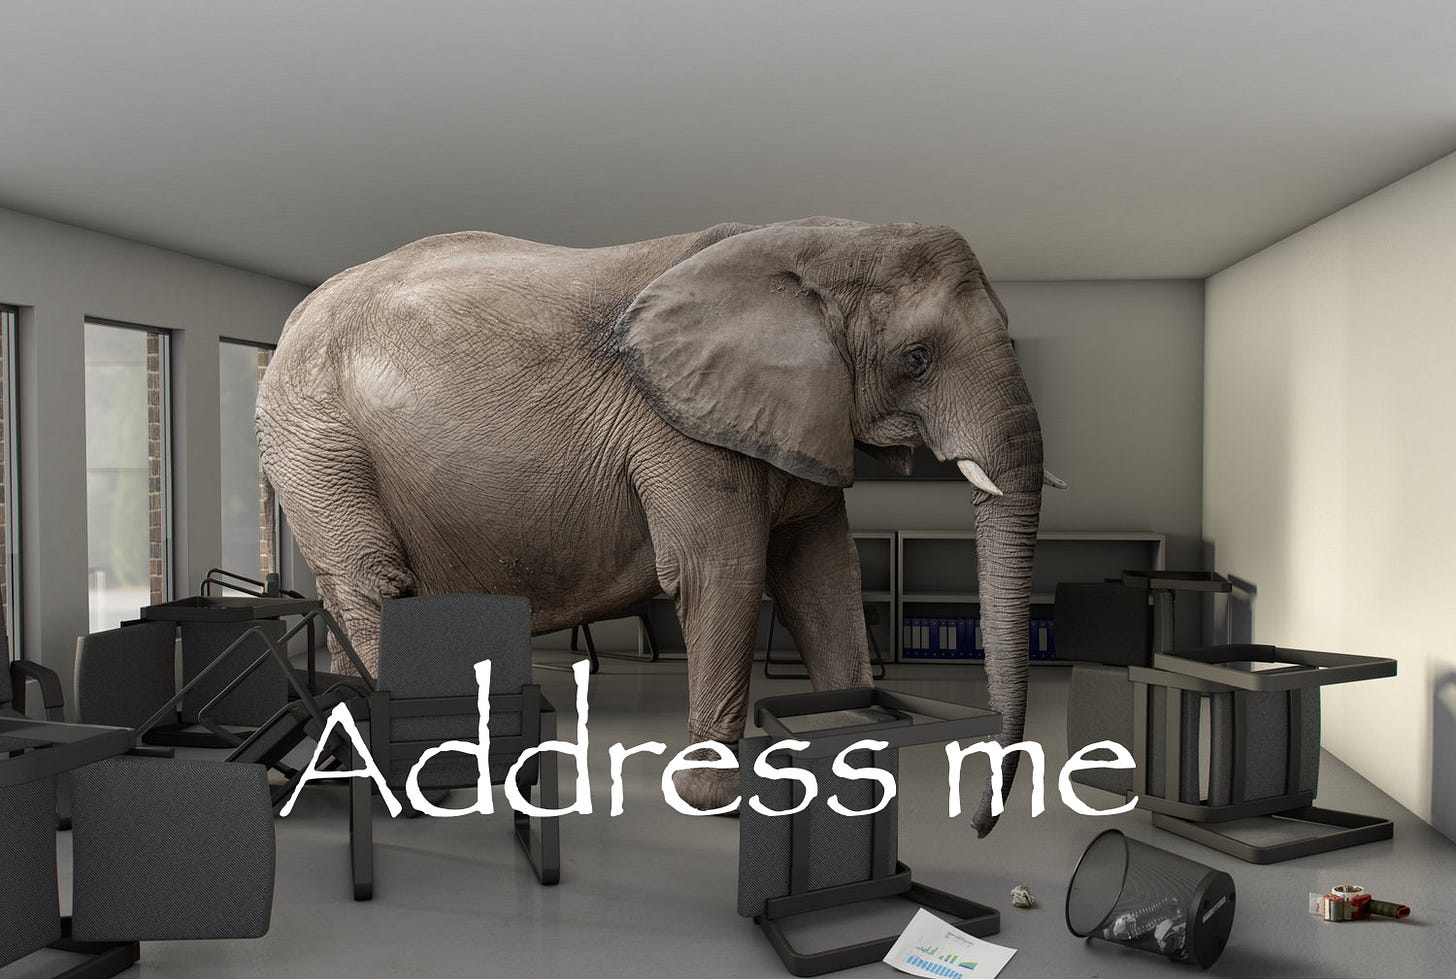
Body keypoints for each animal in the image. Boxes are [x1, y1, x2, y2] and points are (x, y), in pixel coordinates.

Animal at [256, 217, 1054, 835]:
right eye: (917, 359)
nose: (980, 824)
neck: (822, 243)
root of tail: (291, 320)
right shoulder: (679, 428)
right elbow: (721, 572)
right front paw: (715, 803)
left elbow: (824, 577)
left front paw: (851, 770)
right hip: (319, 442)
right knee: (373, 586)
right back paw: (418, 788)